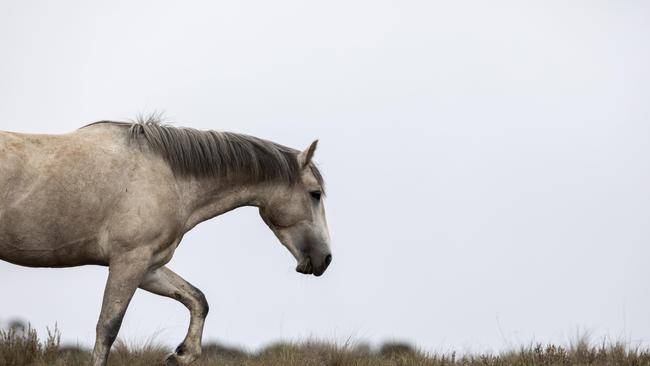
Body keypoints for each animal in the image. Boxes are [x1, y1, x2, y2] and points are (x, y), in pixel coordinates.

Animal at [0, 118, 332, 364]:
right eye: (315, 194)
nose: (325, 258)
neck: (169, 177)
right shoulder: (128, 262)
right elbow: (107, 329)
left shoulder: (149, 267)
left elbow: (197, 299)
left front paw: (182, 354)